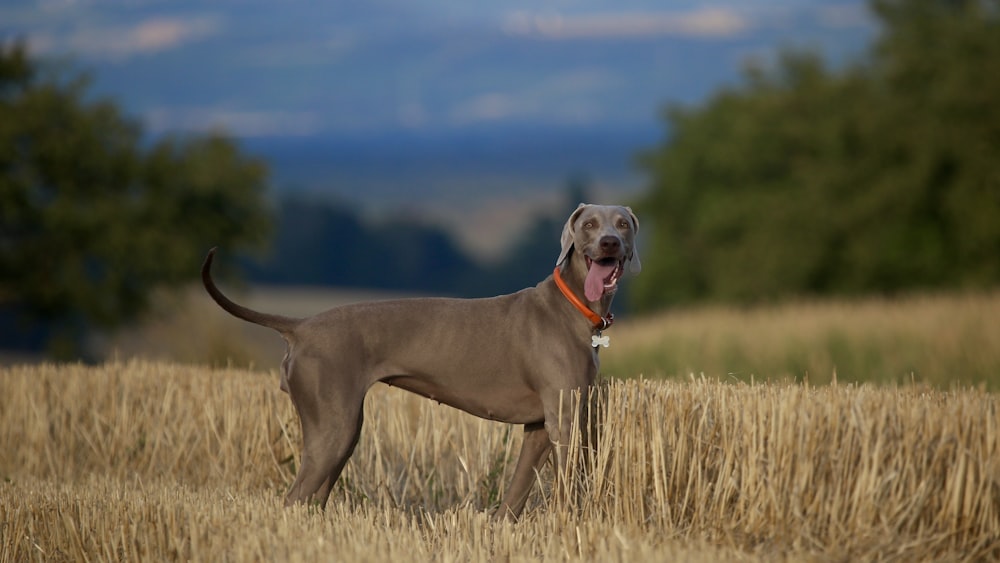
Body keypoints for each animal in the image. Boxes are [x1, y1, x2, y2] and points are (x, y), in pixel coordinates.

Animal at [201, 203, 640, 520]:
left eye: (623, 224)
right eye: (589, 224)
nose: (609, 243)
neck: (573, 305)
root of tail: (302, 326)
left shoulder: (538, 426)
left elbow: (516, 492)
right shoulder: (563, 418)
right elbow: (572, 479)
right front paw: (576, 523)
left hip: (342, 431)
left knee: (312, 498)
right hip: (333, 427)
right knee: (294, 498)